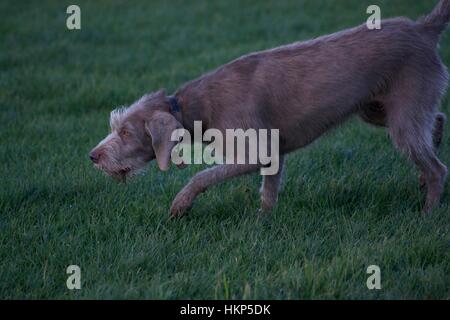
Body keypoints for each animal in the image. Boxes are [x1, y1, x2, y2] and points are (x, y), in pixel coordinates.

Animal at [89, 0, 448, 218]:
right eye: (115, 128)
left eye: (125, 132)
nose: (92, 156)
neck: (192, 106)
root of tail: (422, 28)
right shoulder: (275, 151)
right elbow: (269, 190)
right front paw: (264, 222)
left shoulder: (256, 150)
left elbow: (204, 174)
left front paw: (180, 204)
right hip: (376, 108)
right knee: (436, 121)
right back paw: (429, 156)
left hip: (402, 114)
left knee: (437, 167)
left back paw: (428, 212)